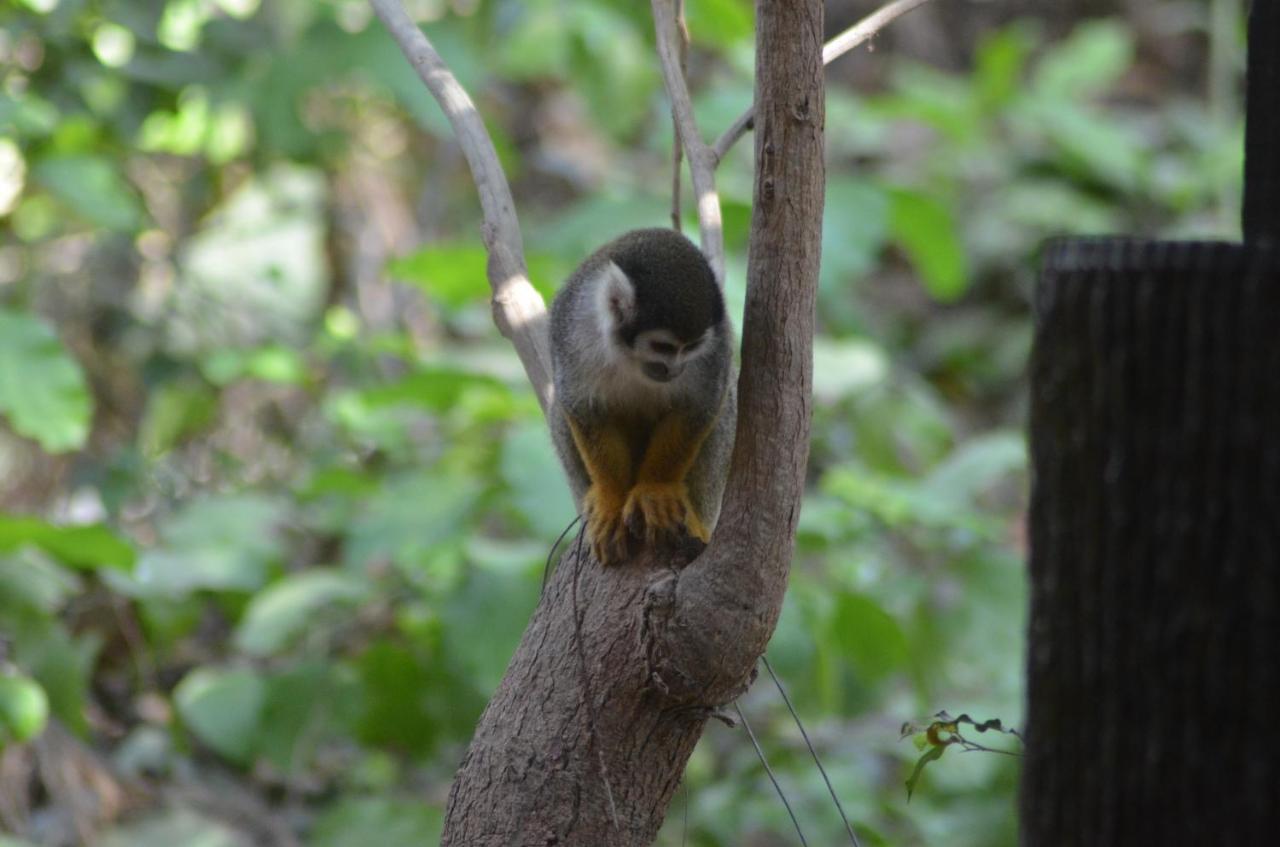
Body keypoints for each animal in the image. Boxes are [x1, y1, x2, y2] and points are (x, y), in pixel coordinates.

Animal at [547, 229, 737, 568]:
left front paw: (656, 490)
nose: (675, 369)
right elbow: (583, 408)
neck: (629, 357)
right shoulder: (570, 331)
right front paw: (610, 499)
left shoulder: (716, 348)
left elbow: (699, 407)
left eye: (691, 347)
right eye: (663, 347)